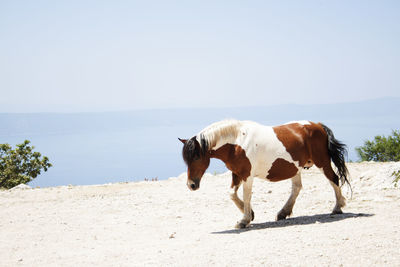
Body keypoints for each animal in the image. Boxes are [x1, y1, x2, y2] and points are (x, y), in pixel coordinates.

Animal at [178, 120, 350, 229]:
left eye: (197, 156)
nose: (191, 185)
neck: (237, 143)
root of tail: (317, 125)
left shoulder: (247, 175)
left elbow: (246, 196)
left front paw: (244, 221)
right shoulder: (237, 173)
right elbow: (232, 194)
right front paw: (251, 215)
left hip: (322, 163)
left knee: (334, 179)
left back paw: (337, 208)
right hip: (295, 168)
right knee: (297, 188)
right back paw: (283, 213)